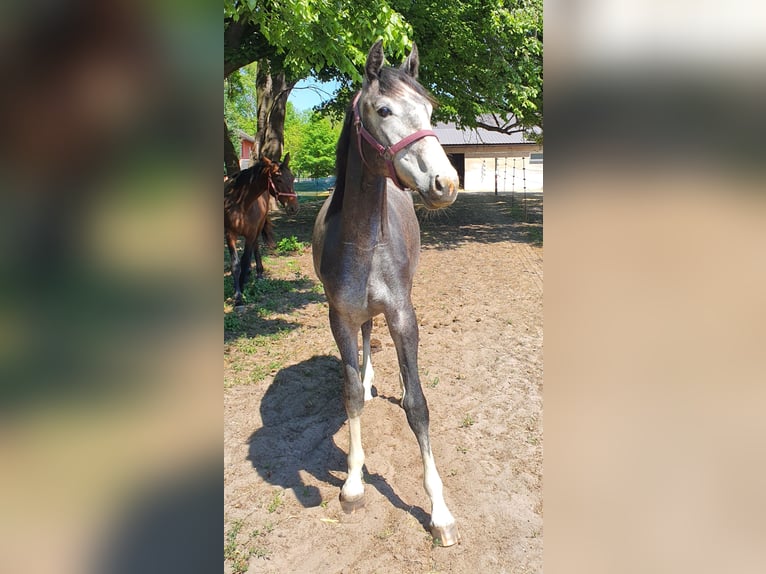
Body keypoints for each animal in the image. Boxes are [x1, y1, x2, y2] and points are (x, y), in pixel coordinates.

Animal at [225, 154, 298, 306]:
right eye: (278, 179)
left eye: (293, 177)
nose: (294, 208)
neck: (240, 203)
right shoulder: (229, 234)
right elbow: (235, 264)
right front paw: (237, 295)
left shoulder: (251, 233)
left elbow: (245, 260)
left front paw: (242, 288)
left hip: (257, 229)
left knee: (256, 248)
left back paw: (258, 274)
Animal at [312, 41, 460, 546]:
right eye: (383, 110)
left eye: (430, 109)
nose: (446, 183)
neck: (364, 241)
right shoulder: (339, 317)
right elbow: (351, 396)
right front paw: (354, 484)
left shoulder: (403, 317)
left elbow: (417, 406)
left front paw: (439, 512)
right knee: (363, 338)